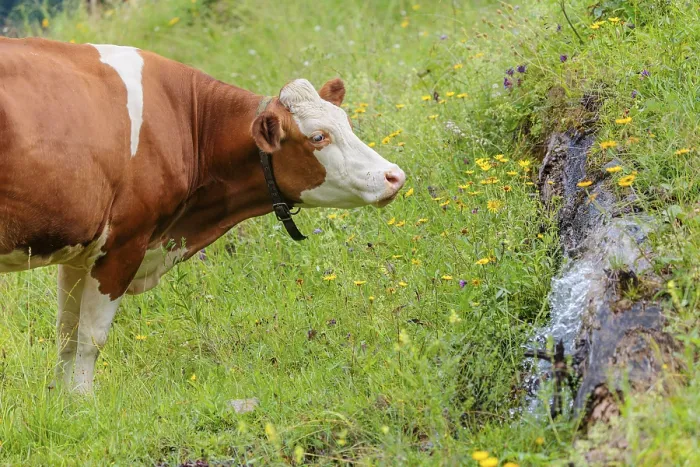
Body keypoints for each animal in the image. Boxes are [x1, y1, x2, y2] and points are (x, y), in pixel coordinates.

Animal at [0, 37, 405, 393]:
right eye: (318, 137)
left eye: (347, 123)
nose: (393, 175)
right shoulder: (125, 242)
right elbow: (91, 338)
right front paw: (86, 405)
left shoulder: (81, 251)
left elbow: (67, 333)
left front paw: (65, 403)